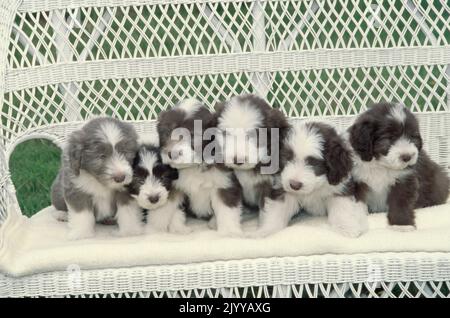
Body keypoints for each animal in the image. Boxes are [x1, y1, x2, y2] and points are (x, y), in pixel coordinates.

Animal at [157, 99, 244, 236]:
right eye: (167, 133)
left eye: (193, 136)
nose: (172, 154)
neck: (194, 166)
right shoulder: (176, 187)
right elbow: (175, 208)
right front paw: (178, 228)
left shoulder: (224, 184)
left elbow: (227, 209)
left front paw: (229, 231)